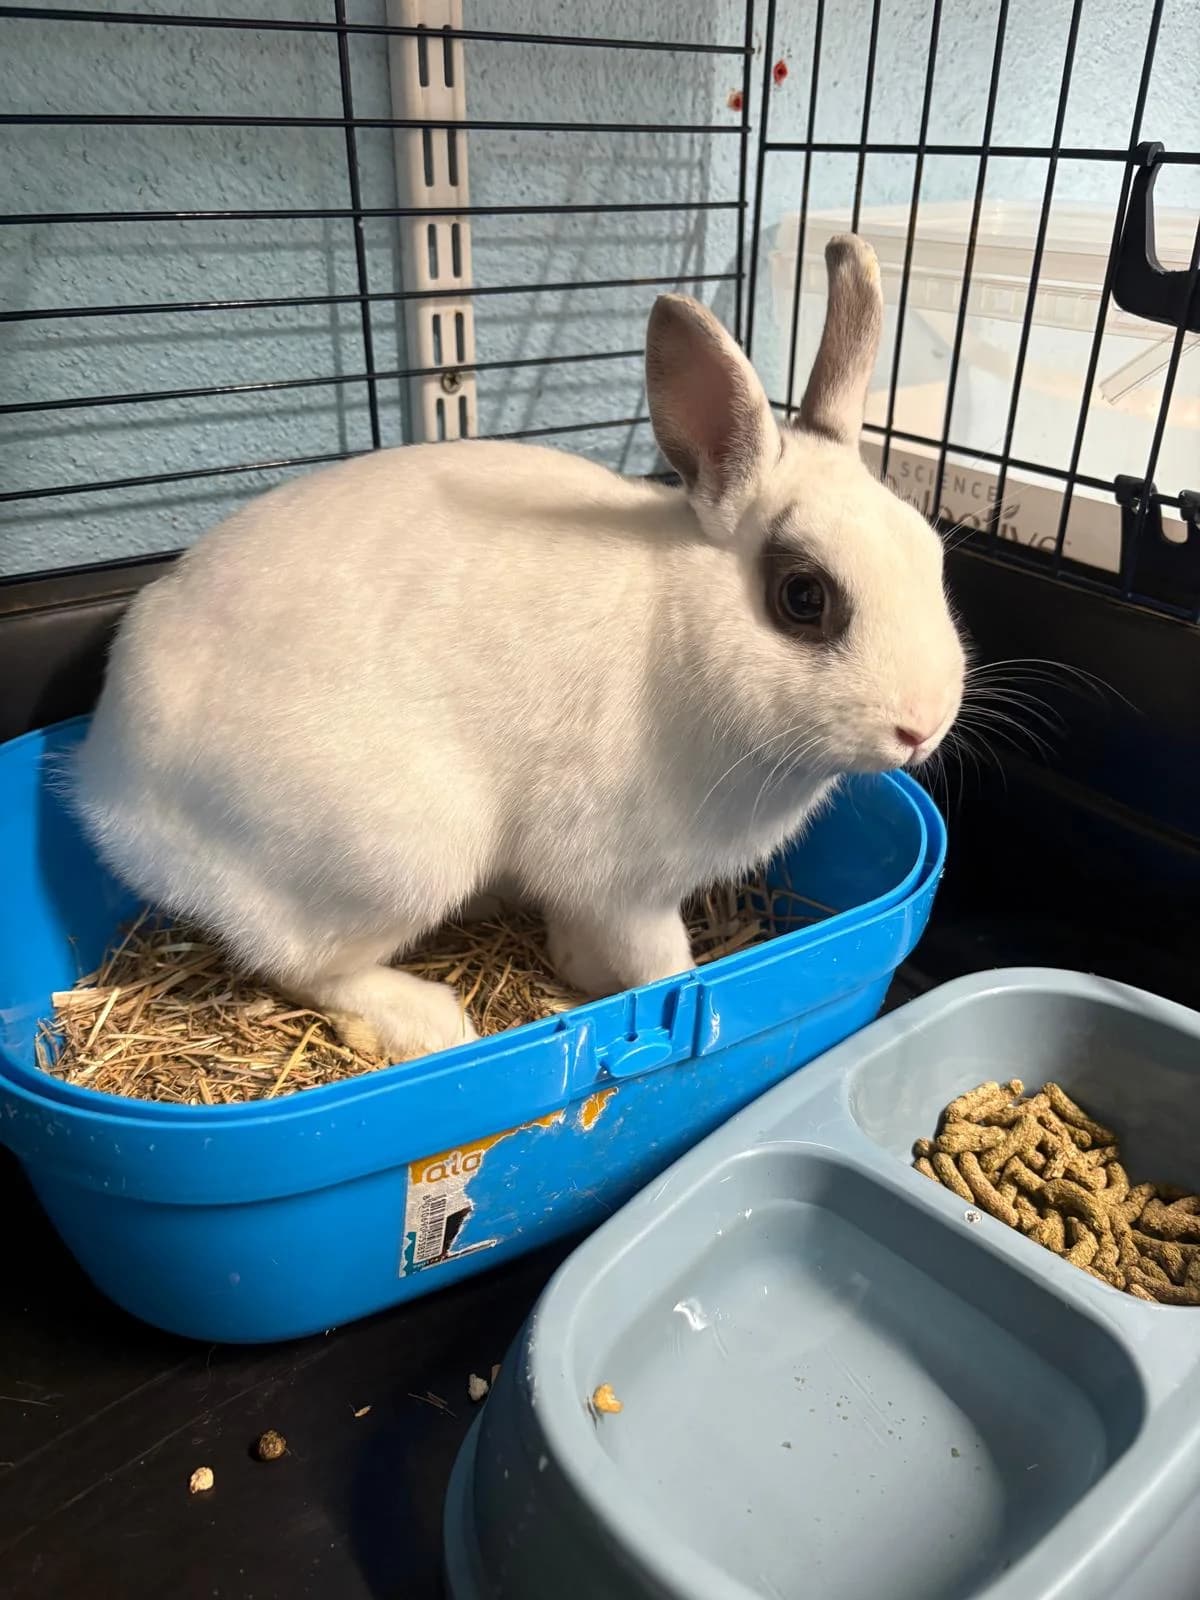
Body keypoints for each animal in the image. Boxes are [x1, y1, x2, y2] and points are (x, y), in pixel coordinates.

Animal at [72, 235, 964, 1065]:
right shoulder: (623, 883)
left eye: (932, 551)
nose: (921, 727)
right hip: (399, 854)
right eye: (804, 598)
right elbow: (664, 967)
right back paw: (430, 1020)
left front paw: (576, 969)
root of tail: (109, 790)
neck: (682, 629)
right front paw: (651, 985)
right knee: (301, 964)